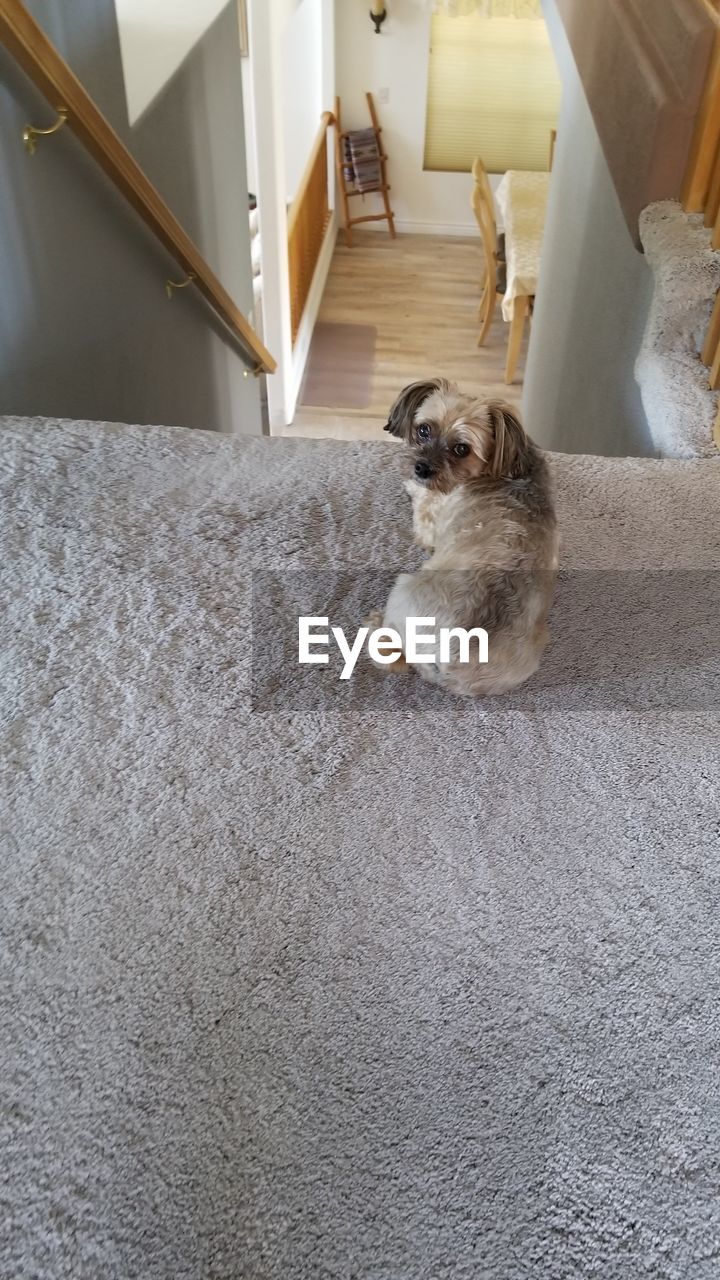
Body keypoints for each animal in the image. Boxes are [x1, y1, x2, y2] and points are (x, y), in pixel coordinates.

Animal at [366, 378, 558, 701]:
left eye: (461, 449)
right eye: (423, 430)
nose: (421, 468)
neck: (504, 467)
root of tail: (452, 656)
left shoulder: (431, 513)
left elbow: (420, 499)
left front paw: (411, 485)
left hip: (404, 587)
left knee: (393, 655)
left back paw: (377, 625)